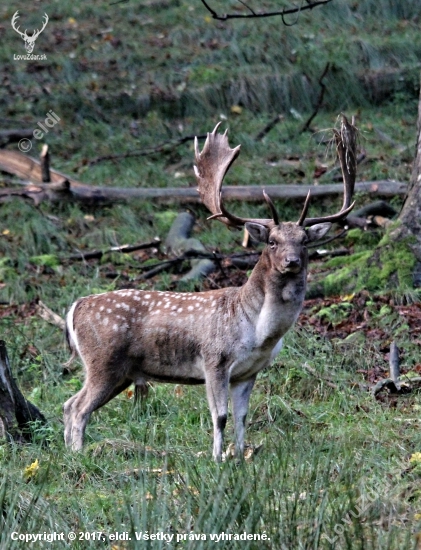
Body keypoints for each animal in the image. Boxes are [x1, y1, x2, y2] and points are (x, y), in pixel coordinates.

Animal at [64, 115, 356, 462]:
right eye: (272, 242)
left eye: (305, 241)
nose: (292, 261)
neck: (258, 331)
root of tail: (75, 307)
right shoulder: (214, 359)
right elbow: (220, 416)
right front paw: (217, 459)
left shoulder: (249, 371)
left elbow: (242, 416)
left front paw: (240, 456)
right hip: (103, 360)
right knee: (79, 408)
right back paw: (77, 456)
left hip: (119, 371)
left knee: (69, 403)